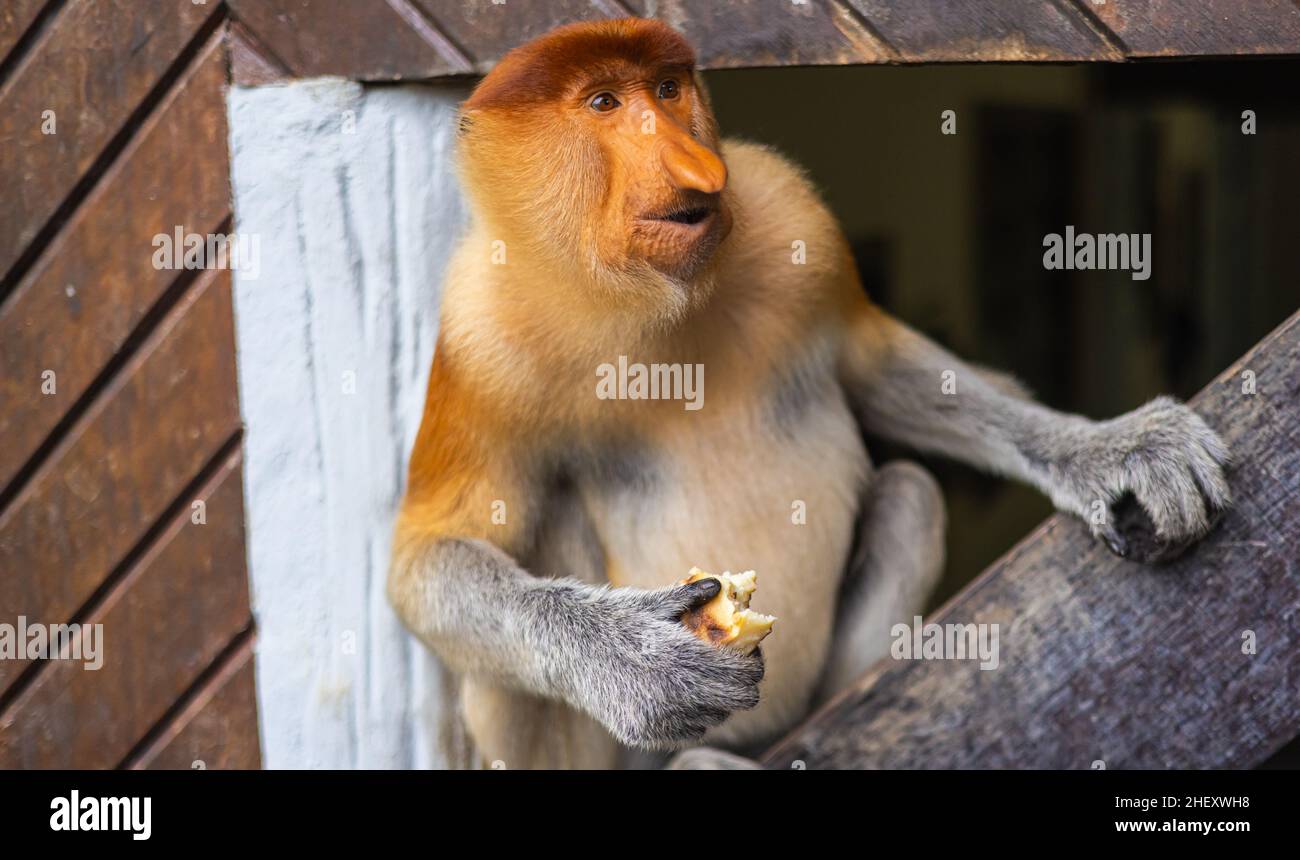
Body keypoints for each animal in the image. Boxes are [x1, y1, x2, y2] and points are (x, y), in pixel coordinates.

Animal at [382, 18, 1227, 774]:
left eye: (667, 88)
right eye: (603, 103)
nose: (697, 169)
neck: (652, 302)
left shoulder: (794, 216)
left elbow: (875, 363)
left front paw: (1113, 449)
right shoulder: (478, 333)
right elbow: (428, 559)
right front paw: (637, 665)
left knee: (911, 496)